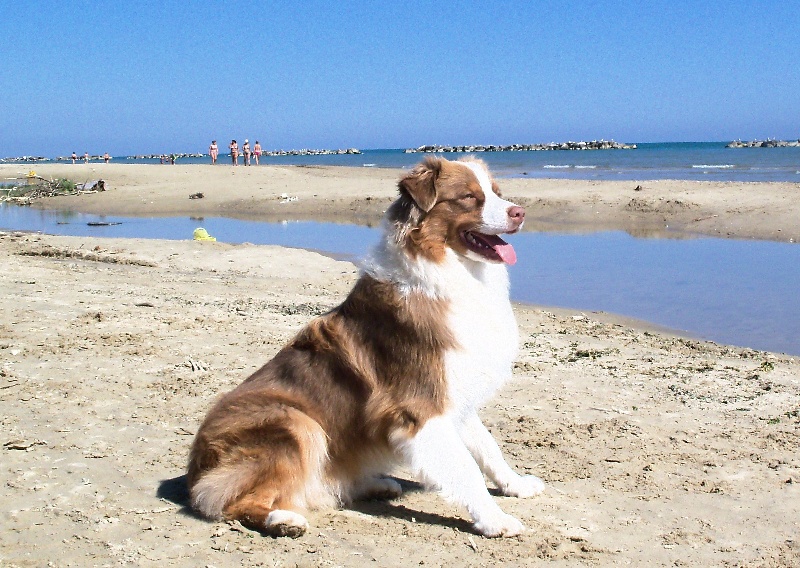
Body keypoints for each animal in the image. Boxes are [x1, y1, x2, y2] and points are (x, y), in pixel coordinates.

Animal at [187, 156, 544, 538]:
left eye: (497, 192)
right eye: (468, 197)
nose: (520, 212)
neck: (449, 270)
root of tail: (195, 468)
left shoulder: (453, 396)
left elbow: (488, 448)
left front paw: (516, 484)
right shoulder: (419, 408)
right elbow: (465, 469)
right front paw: (494, 519)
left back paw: (374, 484)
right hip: (296, 422)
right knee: (232, 501)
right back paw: (283, 520)